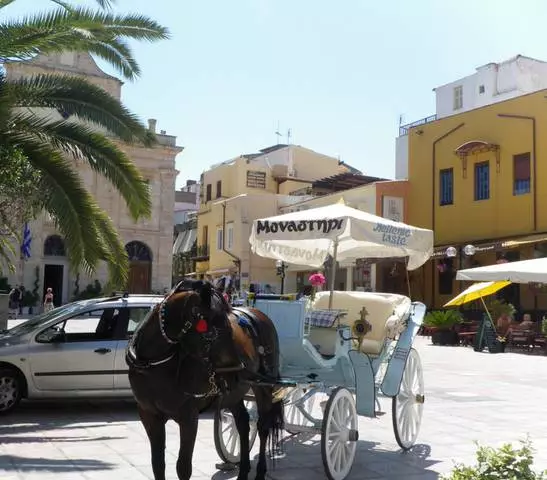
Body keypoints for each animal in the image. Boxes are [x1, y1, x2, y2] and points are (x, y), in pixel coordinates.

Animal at [124, 282, 284, 480]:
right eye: (214, 334)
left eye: (230, 329)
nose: (238, 370)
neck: (154, 364)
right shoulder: (149, 415)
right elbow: (157, 463)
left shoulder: (189, 418)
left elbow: (183, 467)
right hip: (235, 394)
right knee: (243, 424)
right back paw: (243, 471)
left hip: (262, 386)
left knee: (263, 426)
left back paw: (260, 471)